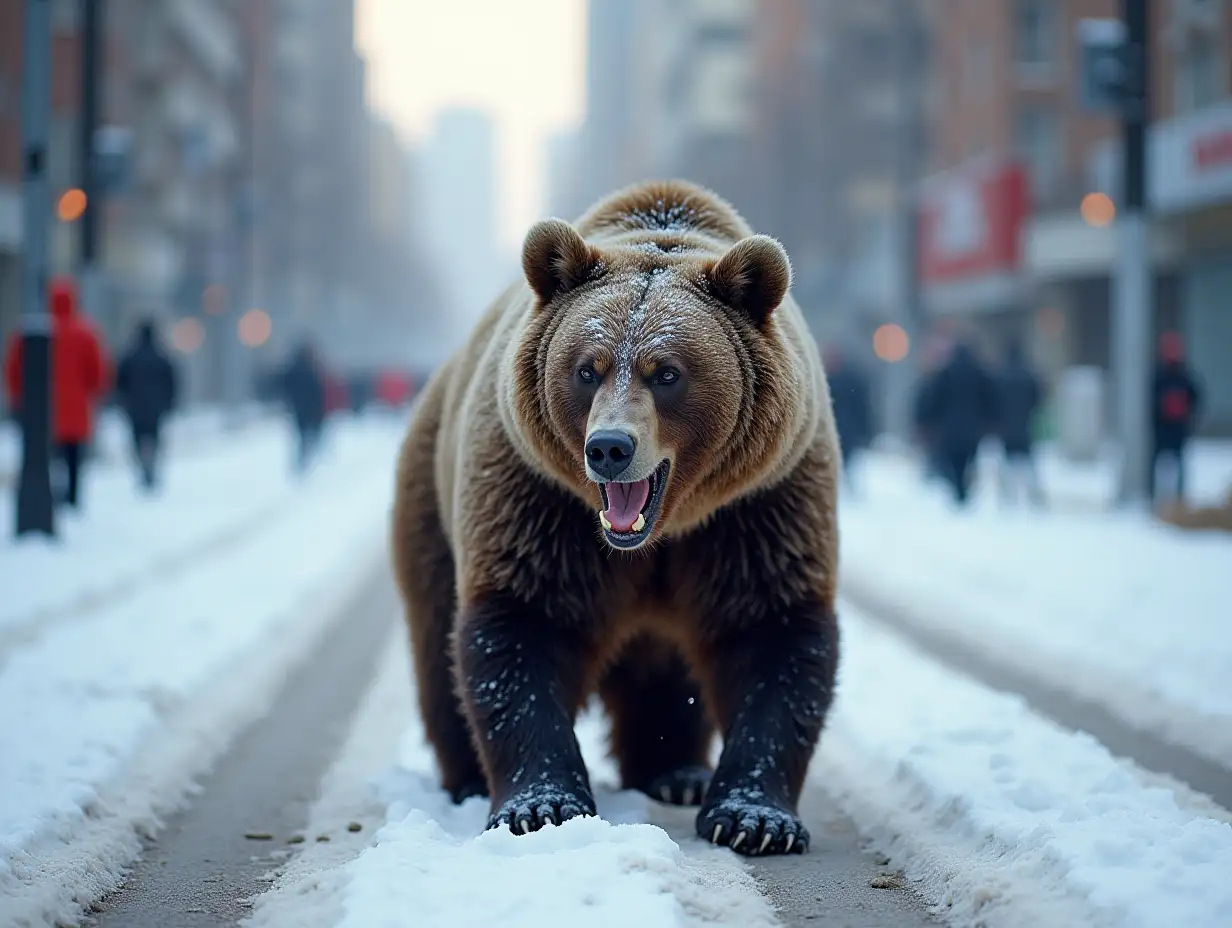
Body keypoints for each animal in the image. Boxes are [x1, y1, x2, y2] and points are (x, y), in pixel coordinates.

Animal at [389, 178, 842, 852]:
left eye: (668, 373)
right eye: (586, 368)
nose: (608, 448)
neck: (665, 530)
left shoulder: (759, 506)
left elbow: (772, 627)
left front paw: (755, 818)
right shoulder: (538, 498)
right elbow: (523, 624)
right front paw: (541, 804)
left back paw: (675, 772)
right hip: (430, 500)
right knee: (437, 641)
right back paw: (466, 777)